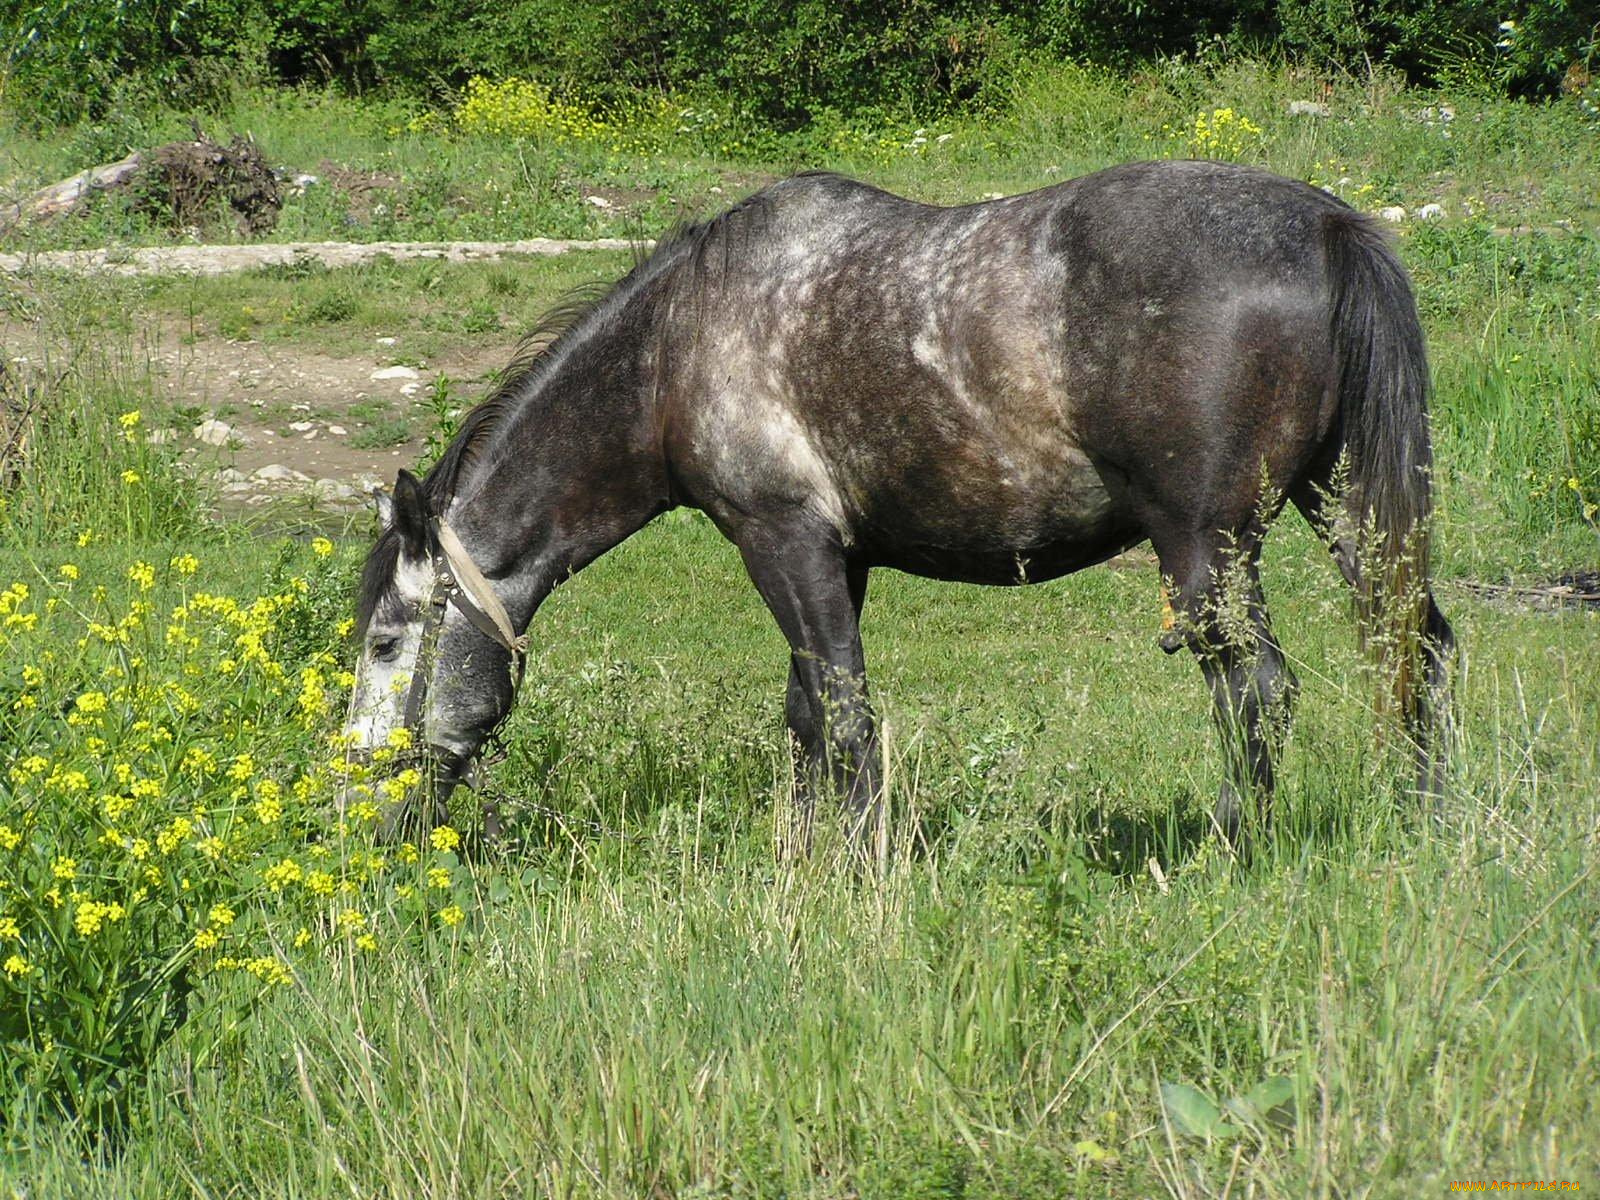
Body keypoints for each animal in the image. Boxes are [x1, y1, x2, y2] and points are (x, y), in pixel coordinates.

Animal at [344, 162, 1459, 857]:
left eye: (388, 643)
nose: (360, 809)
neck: (675, 351)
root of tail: (1326, 227)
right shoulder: (842, 560)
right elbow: (808, 714)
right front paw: (805, 857)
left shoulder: (781, 541)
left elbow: (844, 717)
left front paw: (860, 872)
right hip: (1341, 512)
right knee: (1421, 646)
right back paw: (1431, 823)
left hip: (1204, 544)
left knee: (1257, 688)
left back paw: (1226, 847)